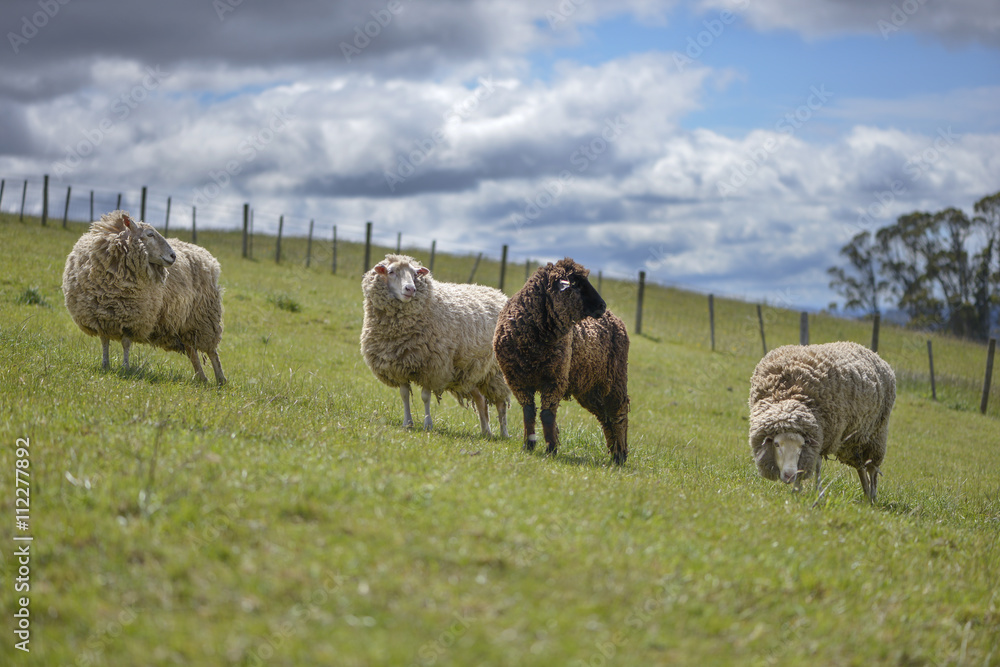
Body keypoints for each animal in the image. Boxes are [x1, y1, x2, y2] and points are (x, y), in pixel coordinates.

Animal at [62, 210, 226, 385]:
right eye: (150, 234)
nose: (173, 256)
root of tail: (207, 257)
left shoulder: (132, 318)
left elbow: (126, 343)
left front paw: (125, 367)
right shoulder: (101, 318)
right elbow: (104, 342)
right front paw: (105, 365)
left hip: (204, 317)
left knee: (211, 351)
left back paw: (221, 379)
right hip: (184, 323)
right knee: (192, 350)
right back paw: (201, 378)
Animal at [360, 253, 510, 437]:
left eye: (415, 274)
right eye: (391, 271)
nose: (410, 289)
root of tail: (498, 293)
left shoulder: (431, 366)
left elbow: (425, 397)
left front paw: (428, 425)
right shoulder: (399, 366)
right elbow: (404, 395)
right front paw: (407, 423)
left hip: (496, 371)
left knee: (501, 403)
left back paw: (504, 433)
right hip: (472, 372)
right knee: (481, 401)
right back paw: (486, 432)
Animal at [493, 258, 630, 465]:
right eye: (576, 284)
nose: (602, 305)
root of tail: (616, 319)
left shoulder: (555, 379)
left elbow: (547, 415)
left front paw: (551, 448)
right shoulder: (518, 381)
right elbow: (528, 412)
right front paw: (528, 445)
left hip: (615, 379)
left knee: (618, 413)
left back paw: (621, 455)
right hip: (590, 388)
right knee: (605, 417)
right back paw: (614, 454)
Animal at [748, 341, 896, 503]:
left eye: (801, 446)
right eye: (776, 444)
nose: (789, 475)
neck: (788, 397)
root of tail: (870, 351)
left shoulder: (822, 434)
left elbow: (816, 465)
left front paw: (815, 492)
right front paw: (798, 491)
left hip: (877, 434)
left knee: (872, 469)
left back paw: (872, 497)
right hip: (854, 443)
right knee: (861, 467)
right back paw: (866, 494)